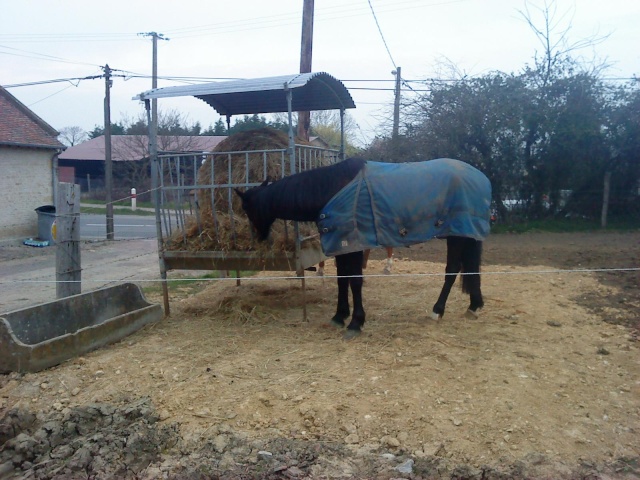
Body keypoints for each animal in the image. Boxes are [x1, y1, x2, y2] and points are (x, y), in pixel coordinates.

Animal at [235, 157, 490, 338]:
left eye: (246, 208)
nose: (258, 237)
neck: (333, 189)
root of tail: (480, 178)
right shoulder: (342, 245)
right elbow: (342, 279)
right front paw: (339, 316)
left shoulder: (354, 244)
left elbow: (355, 281)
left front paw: (356, 322)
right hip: (465, 234)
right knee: (471, 268)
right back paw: (474, 306)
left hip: (456, 235)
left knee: (452, 269)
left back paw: (437, 311)